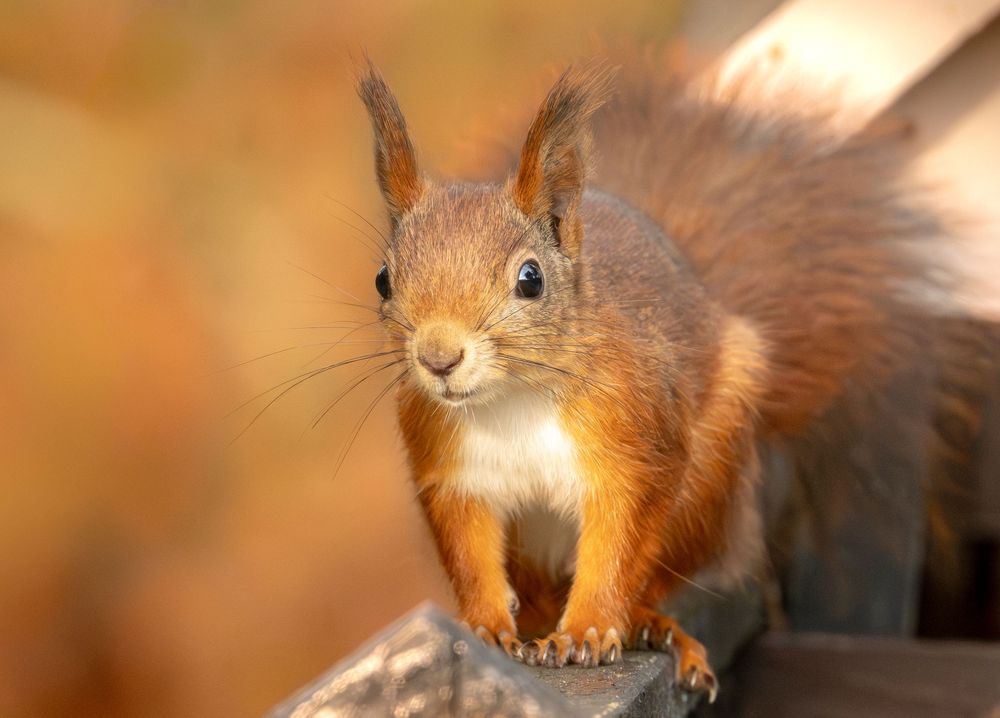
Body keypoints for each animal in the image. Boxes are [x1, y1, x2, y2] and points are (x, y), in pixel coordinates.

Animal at [354, 55, 971, 701]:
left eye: (530, 279)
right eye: (383, 279)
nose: (438, 358)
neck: (512, 398)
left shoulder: (638, 441)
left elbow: (619, 545)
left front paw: (589, 628)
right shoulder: (450, 470)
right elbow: (470, 552)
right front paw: (483, 626)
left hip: (708, 485)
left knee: (655, 575)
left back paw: (651, 625)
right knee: (541, 586)